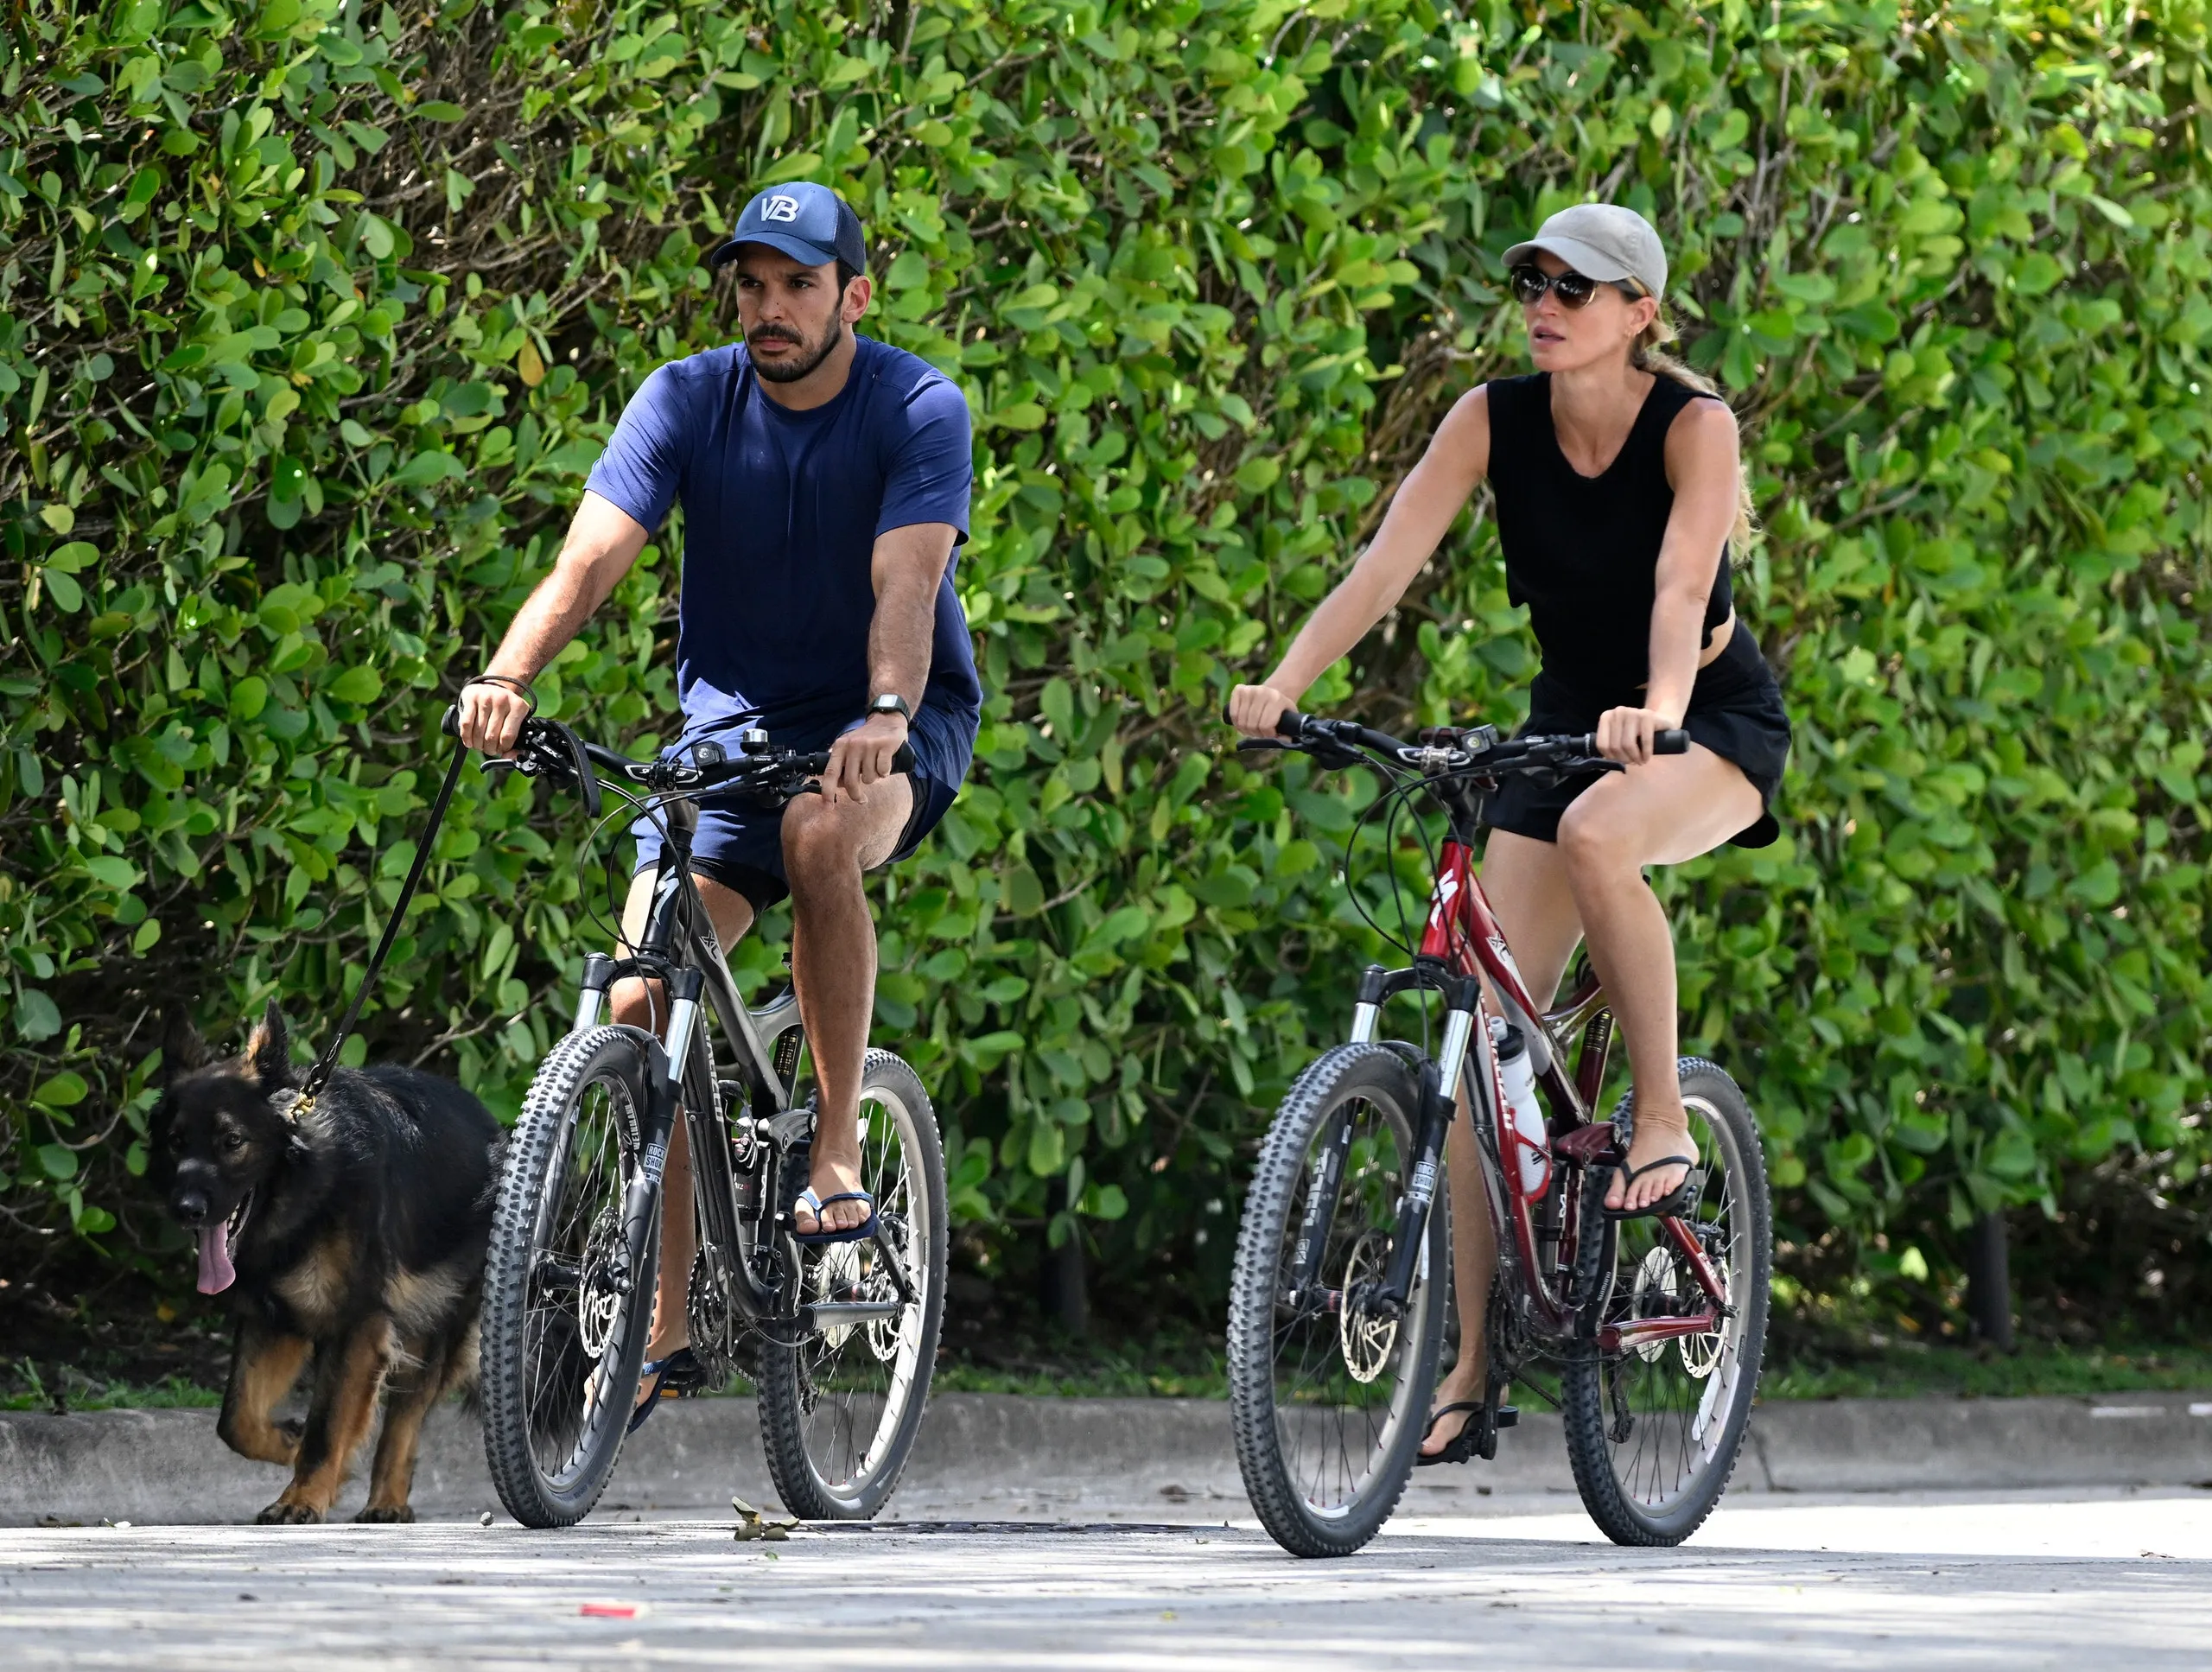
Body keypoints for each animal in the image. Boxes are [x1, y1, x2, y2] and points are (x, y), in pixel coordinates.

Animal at [153, 999, 504, 1521]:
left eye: (232, 1142)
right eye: (177, 1142)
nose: (185, 1209)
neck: (312, 1183)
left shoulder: (357, 1327)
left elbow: (327, 1427)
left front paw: (302, 1497)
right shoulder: (275, 1320)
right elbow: (236, 1420)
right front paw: (289, 1446)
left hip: (435, 1328)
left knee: (406, 1419)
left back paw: (387, 1501)